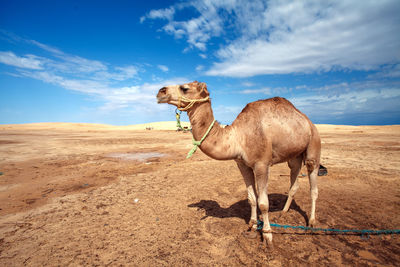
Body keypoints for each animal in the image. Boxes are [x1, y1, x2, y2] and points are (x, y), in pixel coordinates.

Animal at [156, 81, 322, 247]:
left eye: (184, 88)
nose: (160, 92)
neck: (238, 137)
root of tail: (308, 121)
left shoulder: (262, 164)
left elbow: (263, 203)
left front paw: (267, 235)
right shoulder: (242, 164)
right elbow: (252, 198)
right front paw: (253, 226)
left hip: (314, 144)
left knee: (313, 182)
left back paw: (312, 222)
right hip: (294, 155)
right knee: (294, 180)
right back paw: (283, 211)